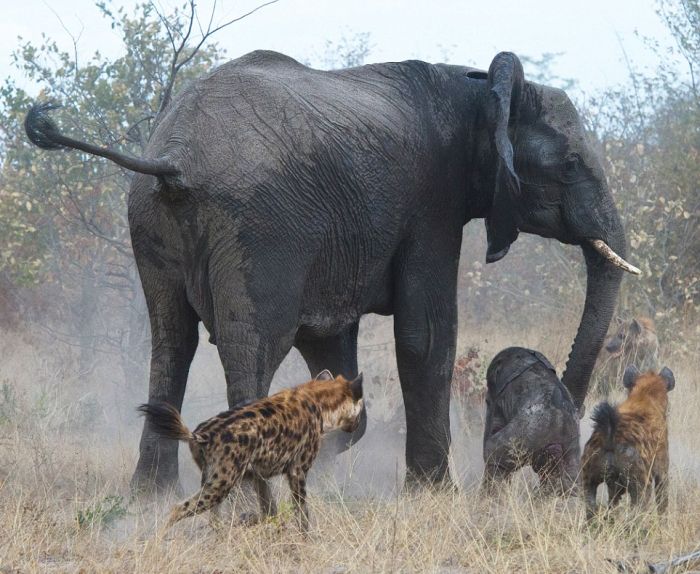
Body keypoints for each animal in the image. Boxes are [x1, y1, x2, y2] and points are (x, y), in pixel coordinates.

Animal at [482, 346, 580, 496]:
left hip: (523, 436)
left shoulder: (499, 398)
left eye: (487, 401)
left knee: (493, 457)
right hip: (571, 446)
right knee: (569, 481)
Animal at [580, 368, 672, 520]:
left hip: (588, 481)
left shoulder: (615, 486)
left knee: (590, 508)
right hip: (641, 485)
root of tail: (610, 437)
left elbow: (612, 504)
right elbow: (662, 503)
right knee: (638, 512)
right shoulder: (661, 468)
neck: (644, 397)